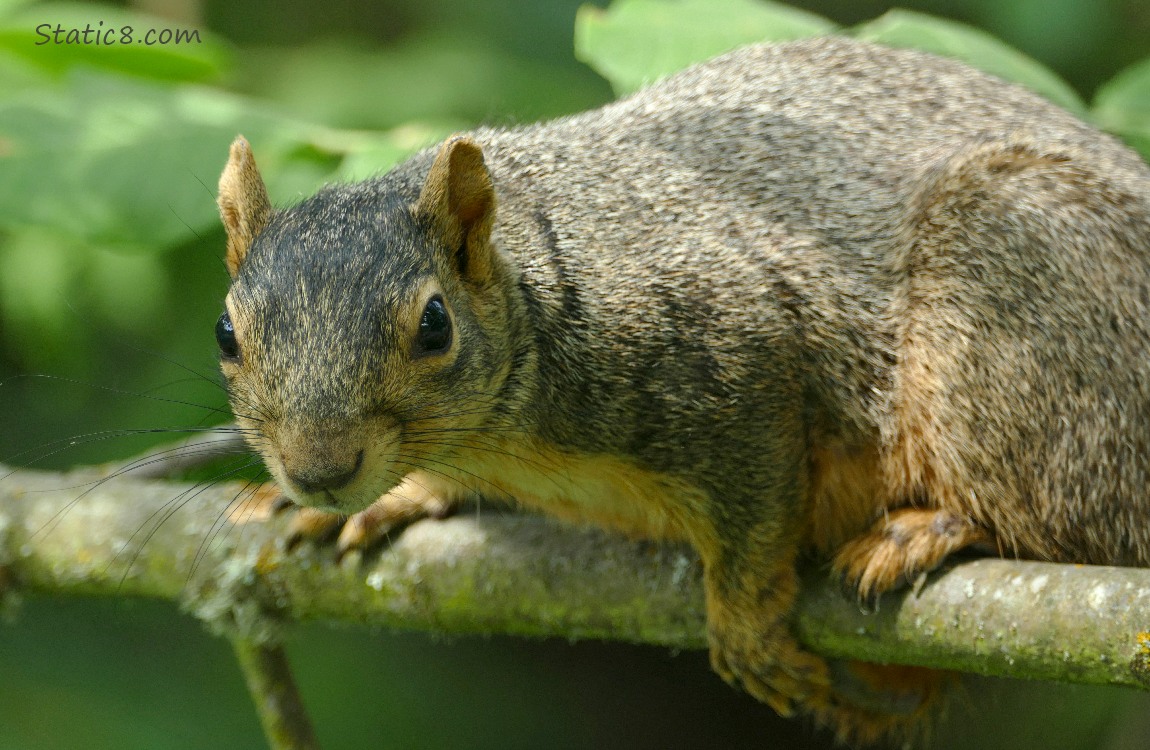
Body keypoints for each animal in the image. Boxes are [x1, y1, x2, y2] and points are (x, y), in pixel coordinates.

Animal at [214, 36, 1150, 743]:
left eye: (435, 325)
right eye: (227, 333)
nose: (320, 470)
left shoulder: (734, 350)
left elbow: (756, 507)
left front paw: (742, 621)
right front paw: (387, 498)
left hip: (1017, 293)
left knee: (1073, 520)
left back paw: (935, 529)